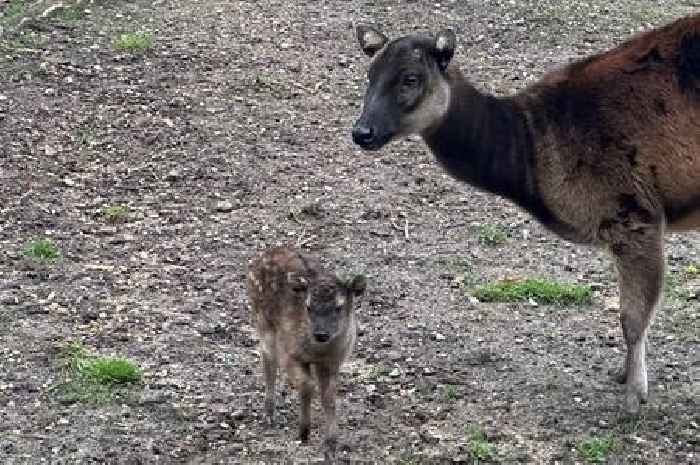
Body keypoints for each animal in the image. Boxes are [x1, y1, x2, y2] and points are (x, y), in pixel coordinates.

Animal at [246, 246, 366, 460]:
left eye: (339, 306)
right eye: (308, 307)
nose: (321, 334)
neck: (319, 351)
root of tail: (266, 253)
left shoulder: (333, 362)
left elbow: (329, 398)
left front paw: (331, 444)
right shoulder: (289, 353)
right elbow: (307, 385)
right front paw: (304, 432)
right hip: (263, 323)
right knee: (267, 359)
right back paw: (269, 414)